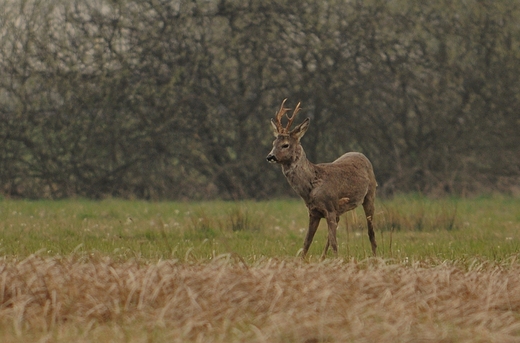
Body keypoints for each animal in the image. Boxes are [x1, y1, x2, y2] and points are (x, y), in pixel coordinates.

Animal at [266, 101, 376, 260]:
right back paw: (323, 257)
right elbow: (306, 243)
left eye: (285, 144)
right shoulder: (314, 212)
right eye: (273, 142)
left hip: (370, 195)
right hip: (339, 211)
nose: (270, 156)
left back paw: (375, 257)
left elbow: (335, 244)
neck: (311, 187)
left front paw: (337, 261)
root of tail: (361, 154)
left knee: (371, 231)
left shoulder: (329, 209)